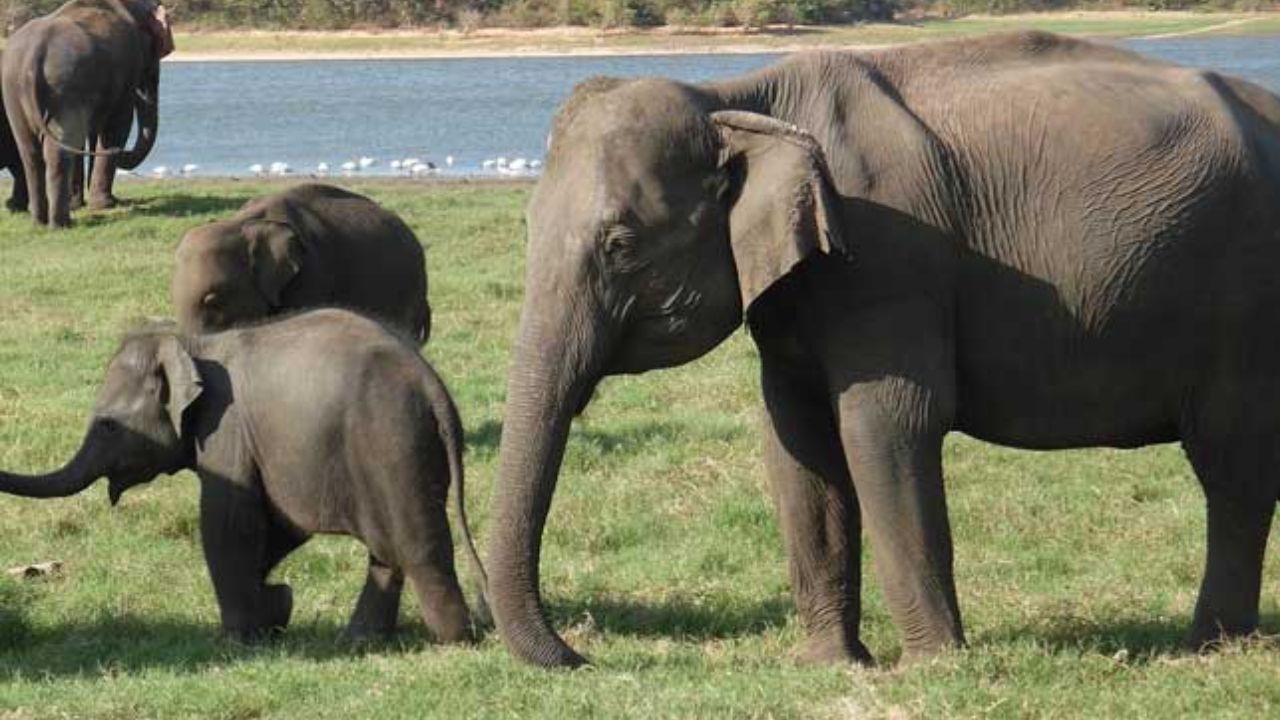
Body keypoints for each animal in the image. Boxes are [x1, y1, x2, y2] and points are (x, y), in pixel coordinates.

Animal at [0, 308, 483, 638]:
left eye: (106, 424)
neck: (194, 345)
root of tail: (433, 387)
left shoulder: (225, 429)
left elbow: (228, 520)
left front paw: (243, 635)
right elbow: (277, 526)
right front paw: (276, 608)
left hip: (391, 442)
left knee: (418, 548)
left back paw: (455, 639)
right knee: (386, 552)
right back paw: (358, 641)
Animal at [1, 0, 171, 226]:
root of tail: (34, 54)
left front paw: (84, 204)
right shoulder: (127, 69)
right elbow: (118, 125)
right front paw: (105, 205)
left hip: (14, 92)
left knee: (30, 151)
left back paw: (39, 222)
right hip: (65, 84)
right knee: (59, 150)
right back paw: (61, 224)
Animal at [483, 29, 1280, 666]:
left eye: (620, 245)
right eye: (523, 224)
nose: (582, 654)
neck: (738, 98)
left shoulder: (888, 258)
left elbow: (886, 423)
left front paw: (931, 666)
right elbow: (795, 439)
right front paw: (829, 665)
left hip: (1243, 305)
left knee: (1233, 465)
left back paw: (1209, 648)